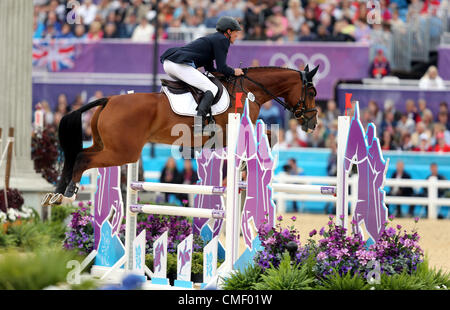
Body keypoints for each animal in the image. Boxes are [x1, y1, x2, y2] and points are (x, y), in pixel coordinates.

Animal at [40, 64, 318, 207]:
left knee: (78, 154)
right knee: (83, 159)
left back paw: (58, 191)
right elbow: (269, 136)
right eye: (313, 92)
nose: (312, 123)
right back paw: (68, 193)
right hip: (123, 152)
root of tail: (108, 100)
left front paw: (244, 170)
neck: (249, 90)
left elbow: (268, 135)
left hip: (106, 146)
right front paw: (244, 169)